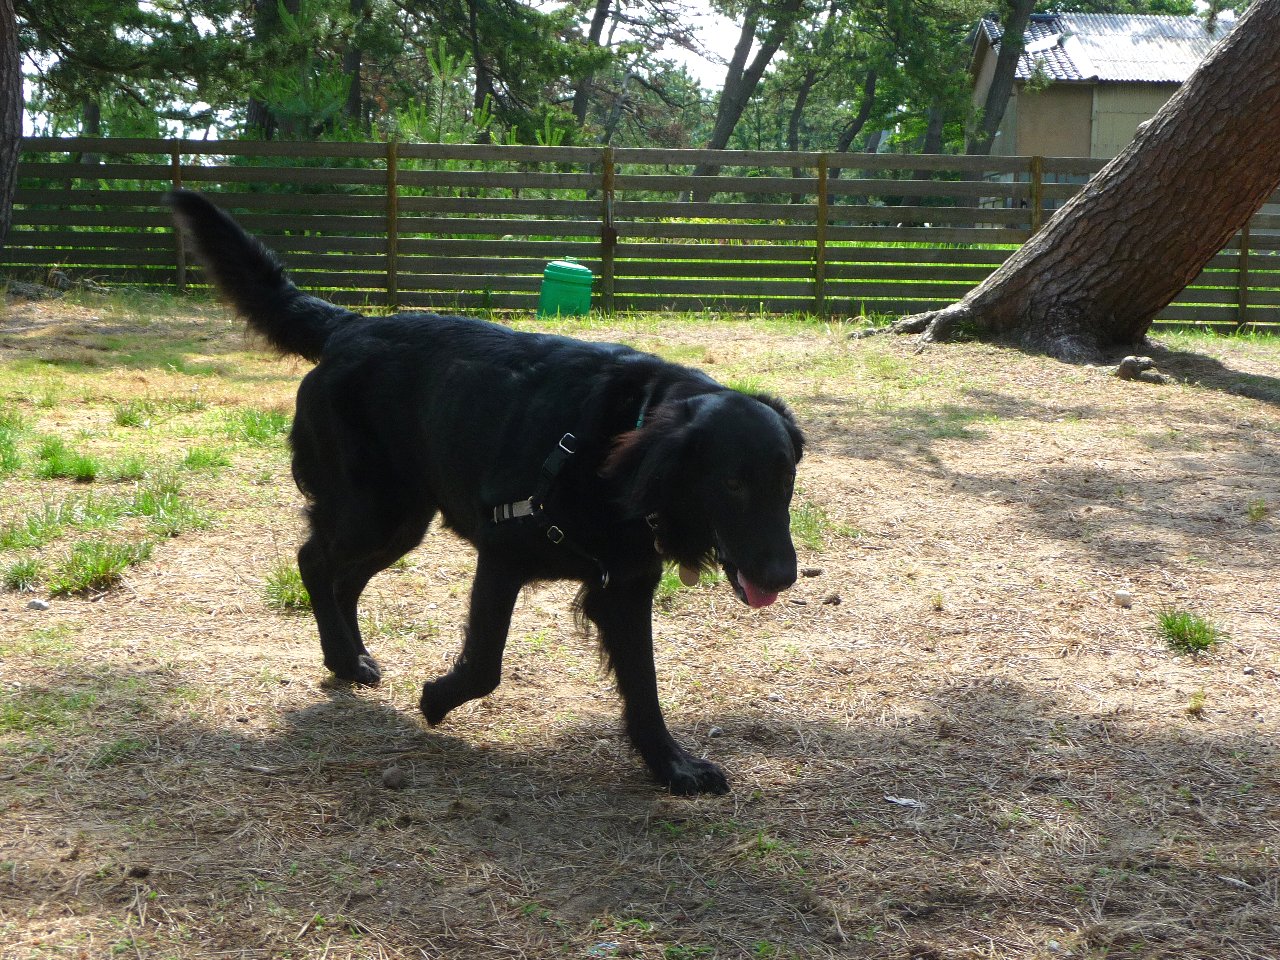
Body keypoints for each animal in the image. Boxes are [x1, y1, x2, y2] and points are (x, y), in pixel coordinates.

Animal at [169, 189, 804, 794]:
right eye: (732, 483)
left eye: (786, 481)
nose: (783, 576)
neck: (617, 448)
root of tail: (351, 325)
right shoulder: (503, 554)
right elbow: (485, 664)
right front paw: (434, 699)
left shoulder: (623, 584)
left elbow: (644, 687)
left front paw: (672, 768)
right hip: (374, 511)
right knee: (313, 560)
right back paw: (344, 659)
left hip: (404, 520)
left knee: (341, 577)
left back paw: (352, 658)